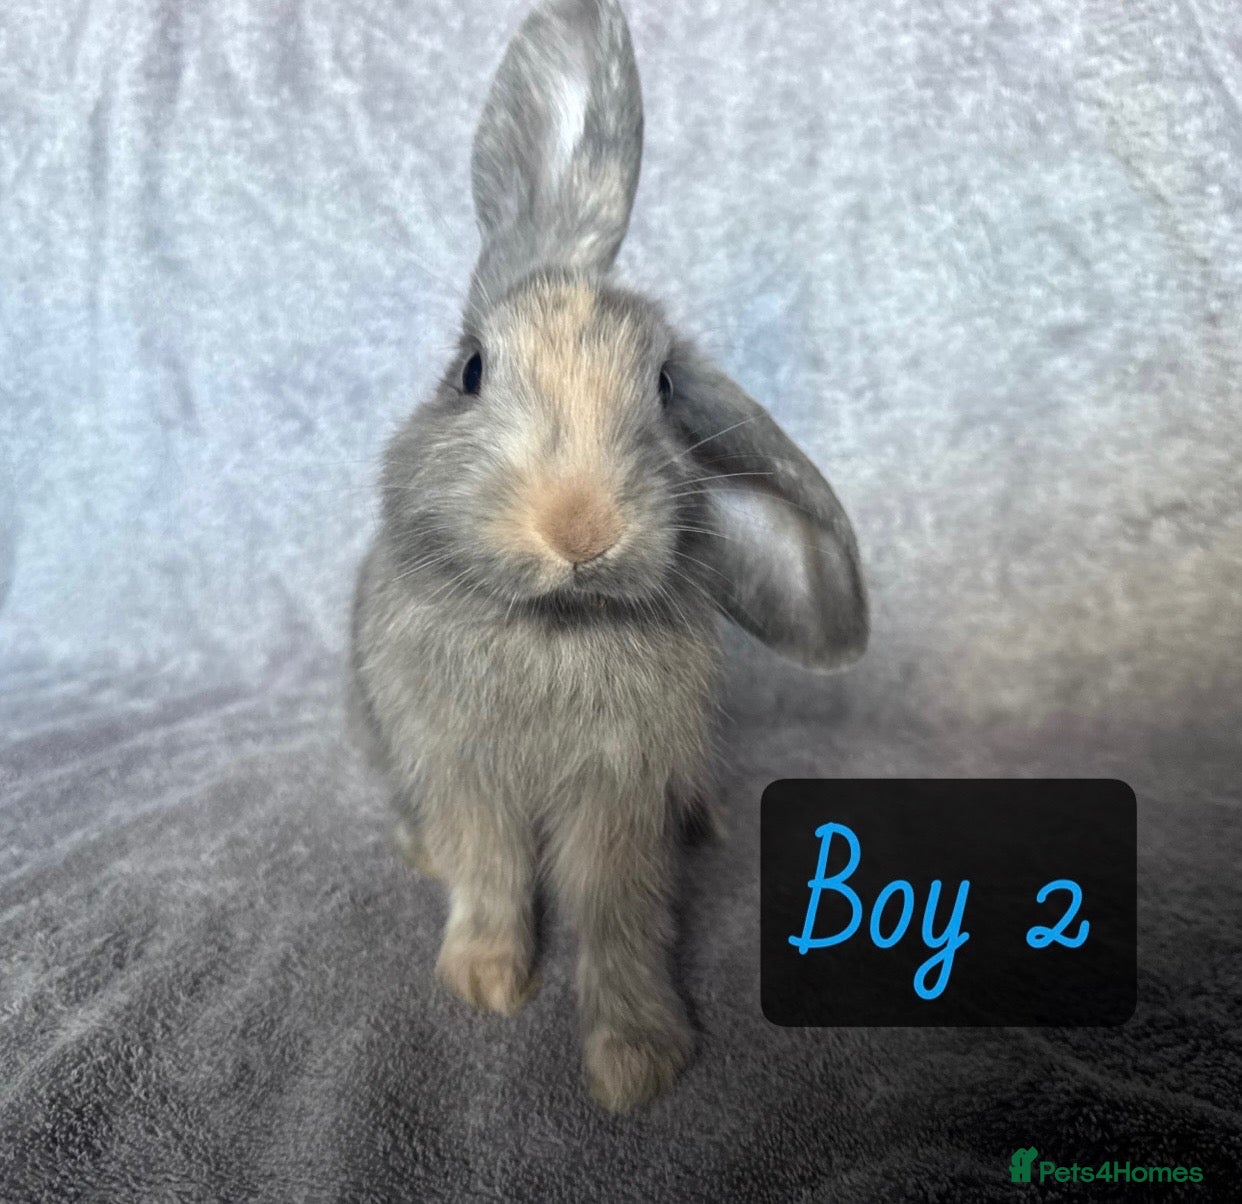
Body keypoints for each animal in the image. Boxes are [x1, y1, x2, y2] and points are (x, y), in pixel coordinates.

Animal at [350, 0, 868, 1113]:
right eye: (470, 371)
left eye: (664, 386)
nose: (579, 525)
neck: (553, 624)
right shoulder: (466, 772)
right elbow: (492, 873)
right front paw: (485, 982)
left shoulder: (623, 798)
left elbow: (623, 917)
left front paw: (638, 1062)